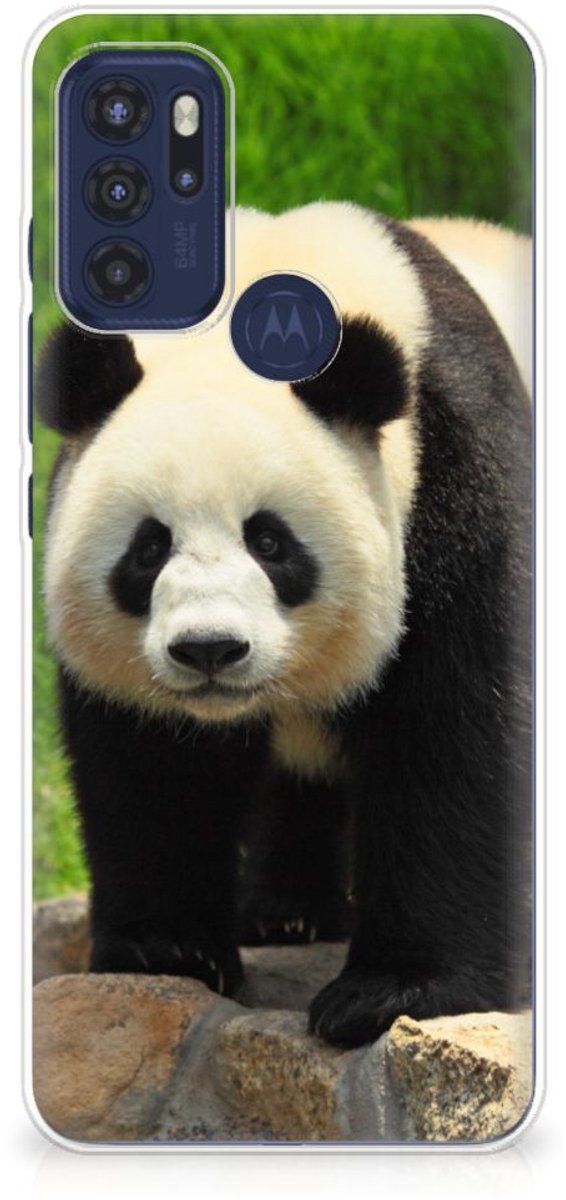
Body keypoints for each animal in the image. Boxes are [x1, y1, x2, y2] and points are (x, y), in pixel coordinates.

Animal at [37, 203, 532, 1048]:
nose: (209, 649)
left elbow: (455, 735)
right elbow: (149, 764)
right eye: (148, 548)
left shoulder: (458, 479)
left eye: (270, 542)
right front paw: (168, 949)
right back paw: (286, 913)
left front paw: (393, 991)